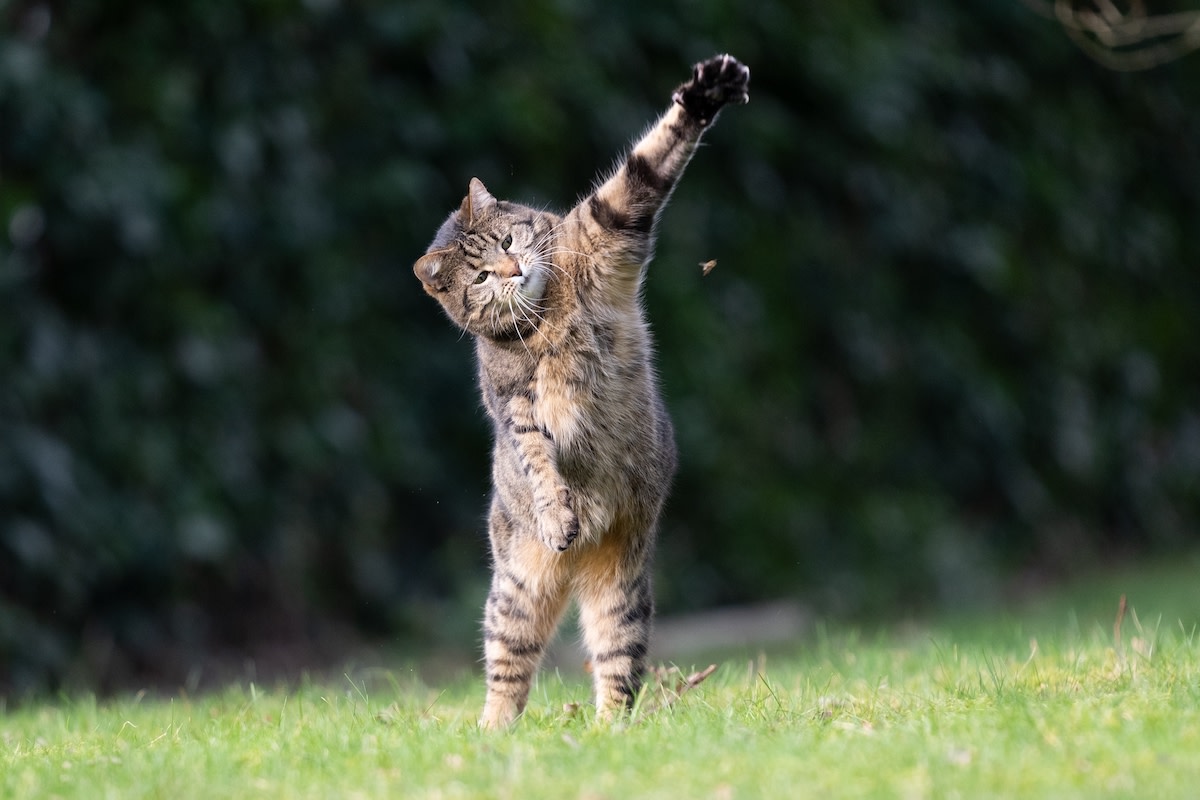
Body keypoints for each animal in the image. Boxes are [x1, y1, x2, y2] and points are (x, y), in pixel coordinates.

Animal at [415, 53, 748, 729]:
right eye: (481, 278)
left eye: (509, 242)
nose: (513, 271)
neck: (546, 312)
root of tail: (574, 569)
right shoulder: (516, 408)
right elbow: (539, 460)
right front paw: (556, 511)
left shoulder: (610, 223)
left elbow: (648, 161)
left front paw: (706, 93)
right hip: (515, 593)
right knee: (508, 668)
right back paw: (493, 729)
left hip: (622, 590)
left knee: (615, 667)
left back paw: (608, 730)